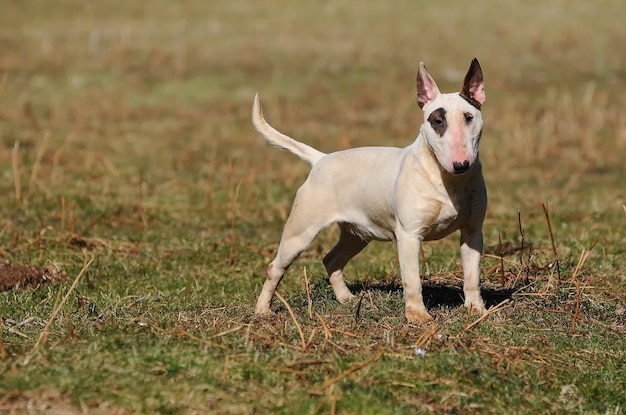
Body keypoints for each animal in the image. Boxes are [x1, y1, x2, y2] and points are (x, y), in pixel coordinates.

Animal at [251, 59, 486, 324]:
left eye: (469, 117)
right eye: (437, 121)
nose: (461, 164)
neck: (447, 180)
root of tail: (321, 159)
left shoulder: (473, 231)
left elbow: (472, 276)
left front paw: (477, 310)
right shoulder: (409, 236)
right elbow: (412, 280)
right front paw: (418, 316)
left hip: (357, 234)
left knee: (331, 259)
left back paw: (346, 298)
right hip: (300, 231)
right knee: (276, 267)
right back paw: (262, 309)